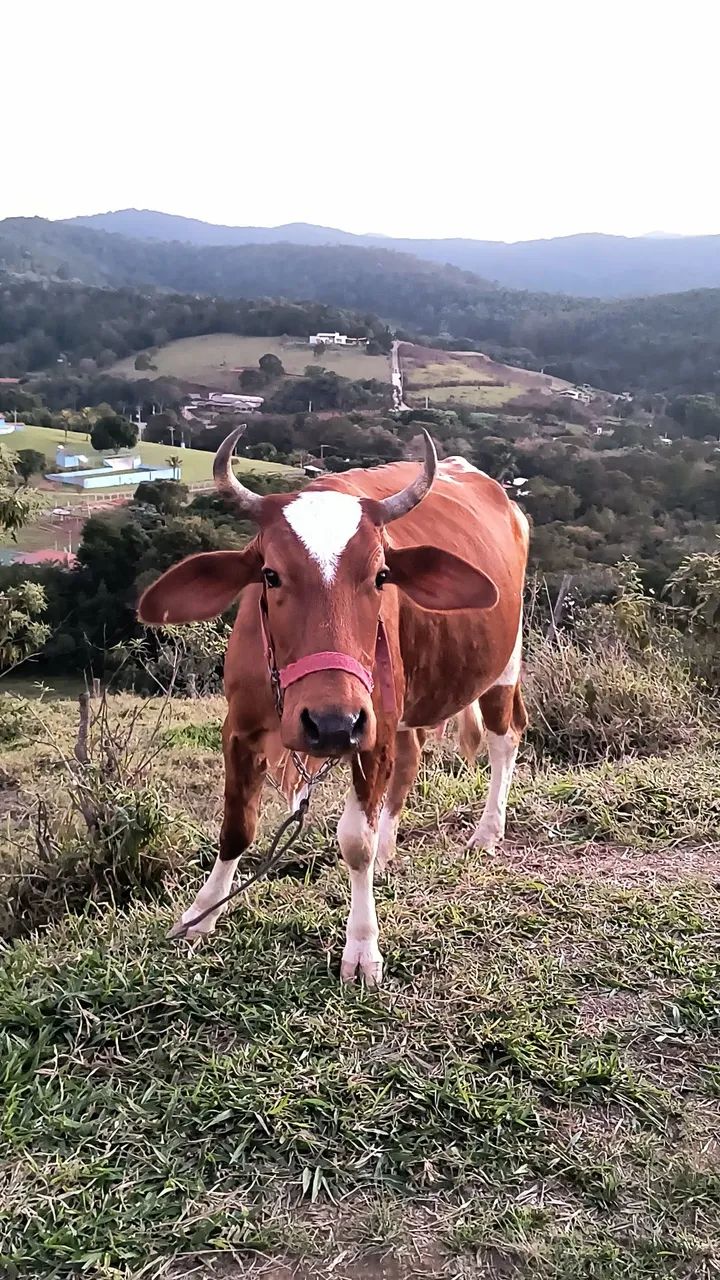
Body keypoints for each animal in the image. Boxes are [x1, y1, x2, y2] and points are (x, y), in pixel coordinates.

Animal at [138, 428, 529, 985]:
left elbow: (354, 842)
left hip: (501, 665)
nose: (330, 724)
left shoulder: (371, 729)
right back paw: (391, 847)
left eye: (382, 575)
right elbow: (236, 827)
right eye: (270, 575)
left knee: (504, 739)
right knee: (410, 760)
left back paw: (487, 833)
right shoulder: (240, 728)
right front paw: (201, 914)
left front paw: (362, 946)